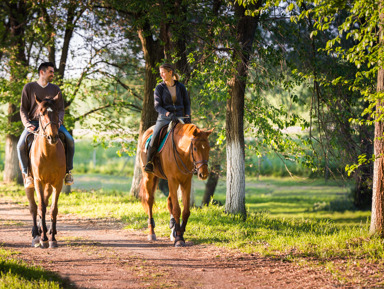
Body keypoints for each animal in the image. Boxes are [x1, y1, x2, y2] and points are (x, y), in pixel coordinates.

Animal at [24, 94, 66, 248]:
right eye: (41, 114)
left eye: (56, 112)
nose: (52, 137)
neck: (48, 153)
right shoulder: (38, 182)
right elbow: (41, 207)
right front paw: (43, 239)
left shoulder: (58, 183)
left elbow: (53, 209)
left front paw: (52, 238)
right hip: (30, 183)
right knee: (33, 207)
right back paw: (36, 234)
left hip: (48, 185)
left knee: (46, 204)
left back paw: (45, 230)